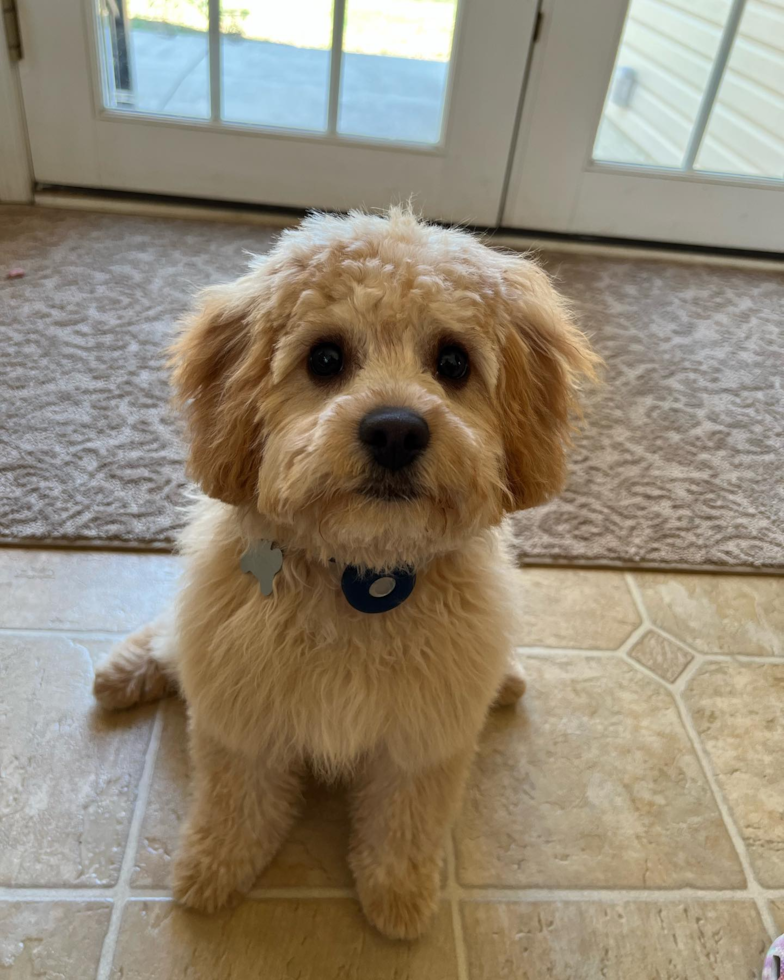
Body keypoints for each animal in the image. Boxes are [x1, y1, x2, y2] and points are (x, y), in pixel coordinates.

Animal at [93, 211, 596, 936]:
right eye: (325, 358)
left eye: (453, 361)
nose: (395, 431)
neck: (363, 575)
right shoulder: (242, 713)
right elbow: (235, 801)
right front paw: (214, 868)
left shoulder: (423, 738)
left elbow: (404, 820)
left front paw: (398, 894)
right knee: (169, 640)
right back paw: (126, 671)